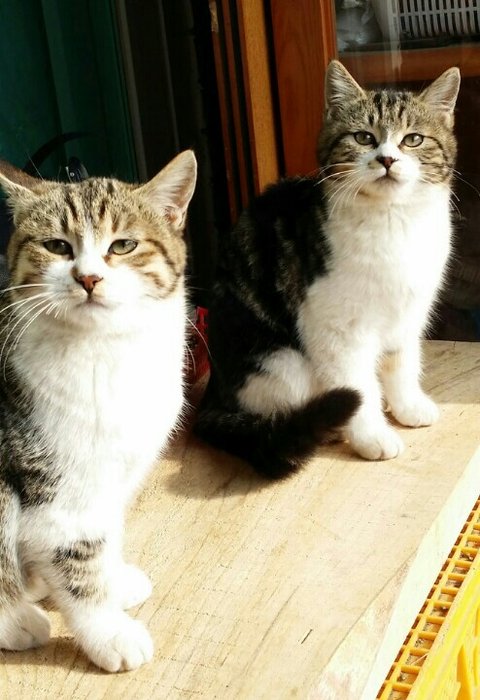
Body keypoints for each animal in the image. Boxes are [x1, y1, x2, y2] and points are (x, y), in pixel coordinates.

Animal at [0, 150, 196, 671]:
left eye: (123, 245)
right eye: (56, 245)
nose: (88, 277)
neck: (105, 354)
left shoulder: (114, 473)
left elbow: (105, 538)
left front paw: (115, 582)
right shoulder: (56, 485)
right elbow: (78, 558)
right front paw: (110, 632)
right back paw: (17, 619)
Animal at [194, 60, 460, 479]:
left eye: (413, 139)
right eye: (364, 137)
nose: (387, 159)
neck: (392, 221)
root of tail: (213, 394)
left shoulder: (408, 311)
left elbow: (402, 361)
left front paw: (407, 405)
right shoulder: (335, 326)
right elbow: (358, 385)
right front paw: (372, 436)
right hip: (282, 363)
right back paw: (329, 428)